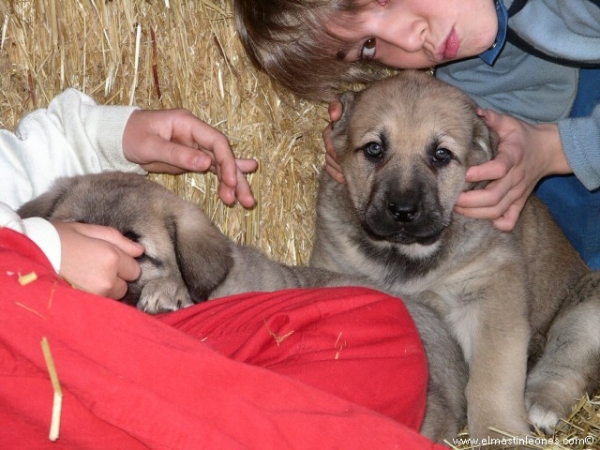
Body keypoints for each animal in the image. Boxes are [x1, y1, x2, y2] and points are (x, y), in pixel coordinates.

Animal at [312, 71, 600, 442]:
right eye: (374, 149)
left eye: (441, 155)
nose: (402, 210)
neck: (408, 255)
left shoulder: (493, 293)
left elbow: (493, 376)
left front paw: (499, 433)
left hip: (587, 307)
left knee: (567, 357)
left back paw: (541, 404)